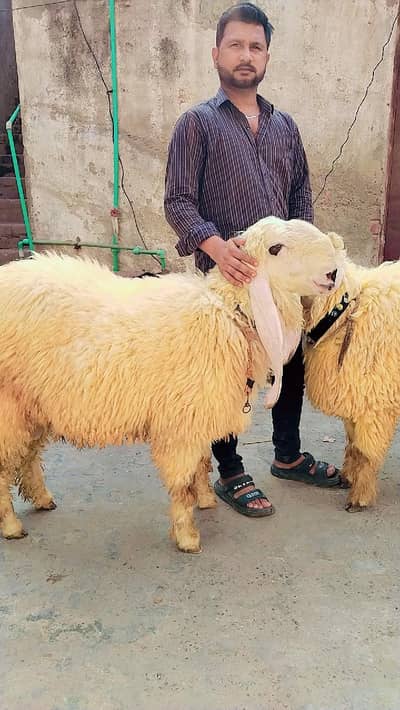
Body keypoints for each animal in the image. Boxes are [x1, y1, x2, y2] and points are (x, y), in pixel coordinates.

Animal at [0, 217, 343, 552]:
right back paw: (11, 526)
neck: (227, 315)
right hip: (8, 405)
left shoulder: (195, 416)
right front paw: (187, 535)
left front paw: (205, 499)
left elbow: (202, 464)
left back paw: (42, 499)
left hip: (32, 404)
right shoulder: (179, 425)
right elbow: (181, 484)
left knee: (28, 456)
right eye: (275, 248)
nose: (332, 273)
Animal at [303, 242, 400, 512]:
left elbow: (365, 452)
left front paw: (360, 497)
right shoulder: (355, 395)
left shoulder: (375, 402)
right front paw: (348, 477)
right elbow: (353, 445)